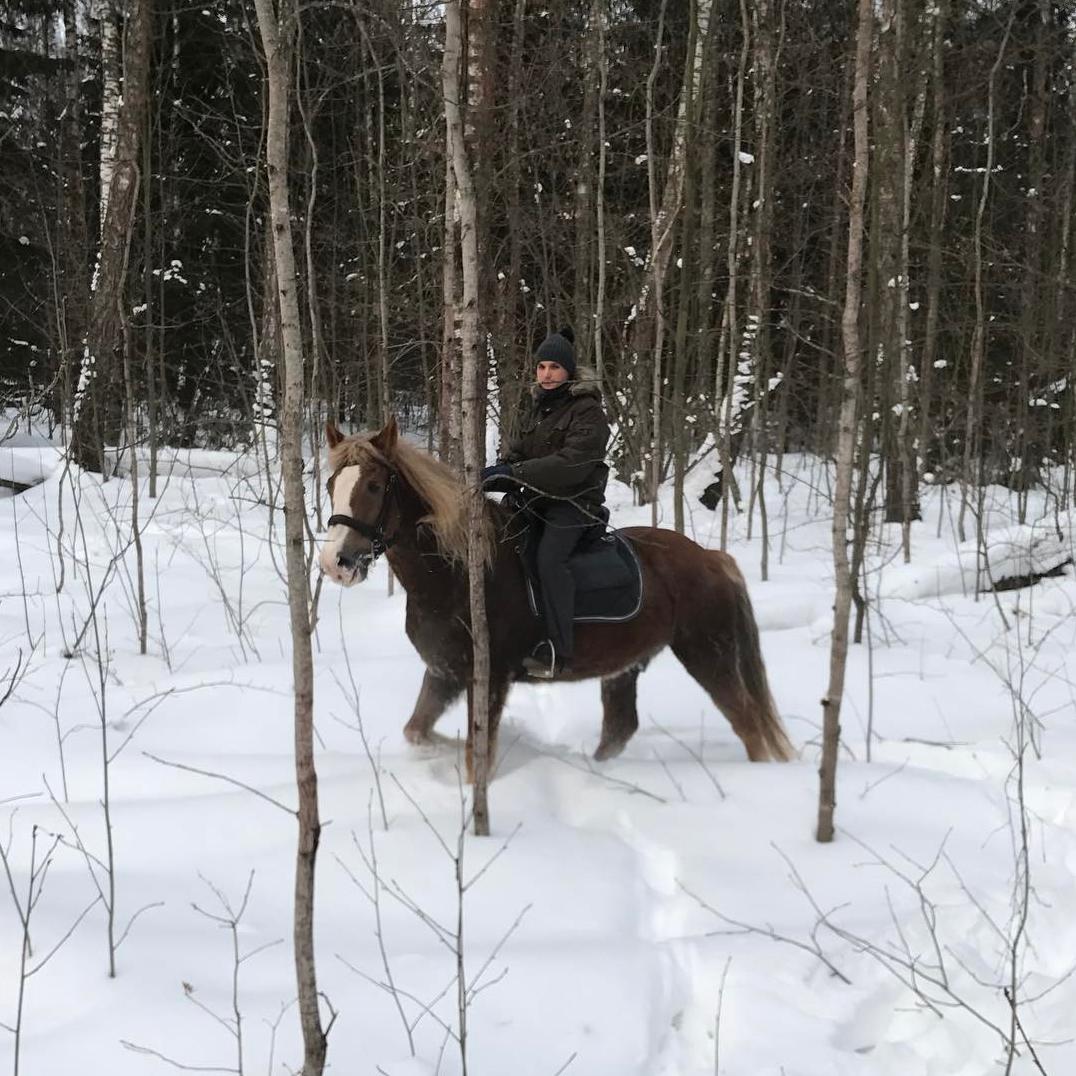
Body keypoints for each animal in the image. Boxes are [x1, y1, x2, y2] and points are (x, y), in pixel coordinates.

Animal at [314, 417, 796, 774]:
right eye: (331, 485)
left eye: (375, 486)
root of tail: (713, 558)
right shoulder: (445, 672)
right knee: (620, 728)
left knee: (747, 722)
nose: (336, 562)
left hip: (707, 653)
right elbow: (417, 732)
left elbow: (476, 757)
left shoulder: (489, 677)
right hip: (625, 667)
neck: (457, 571)